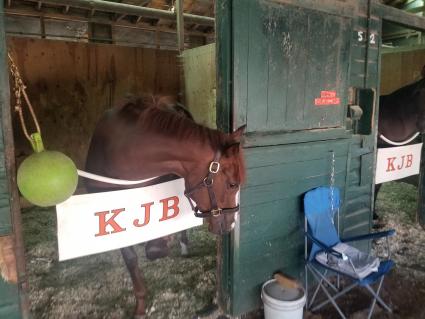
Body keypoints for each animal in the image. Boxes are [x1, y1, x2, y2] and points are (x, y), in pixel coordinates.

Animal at [84, 95, 243, 318]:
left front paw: (161, 243)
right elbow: (131, 257)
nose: (232, 223)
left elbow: (157, 243)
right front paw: (140, 306)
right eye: (232, 184)